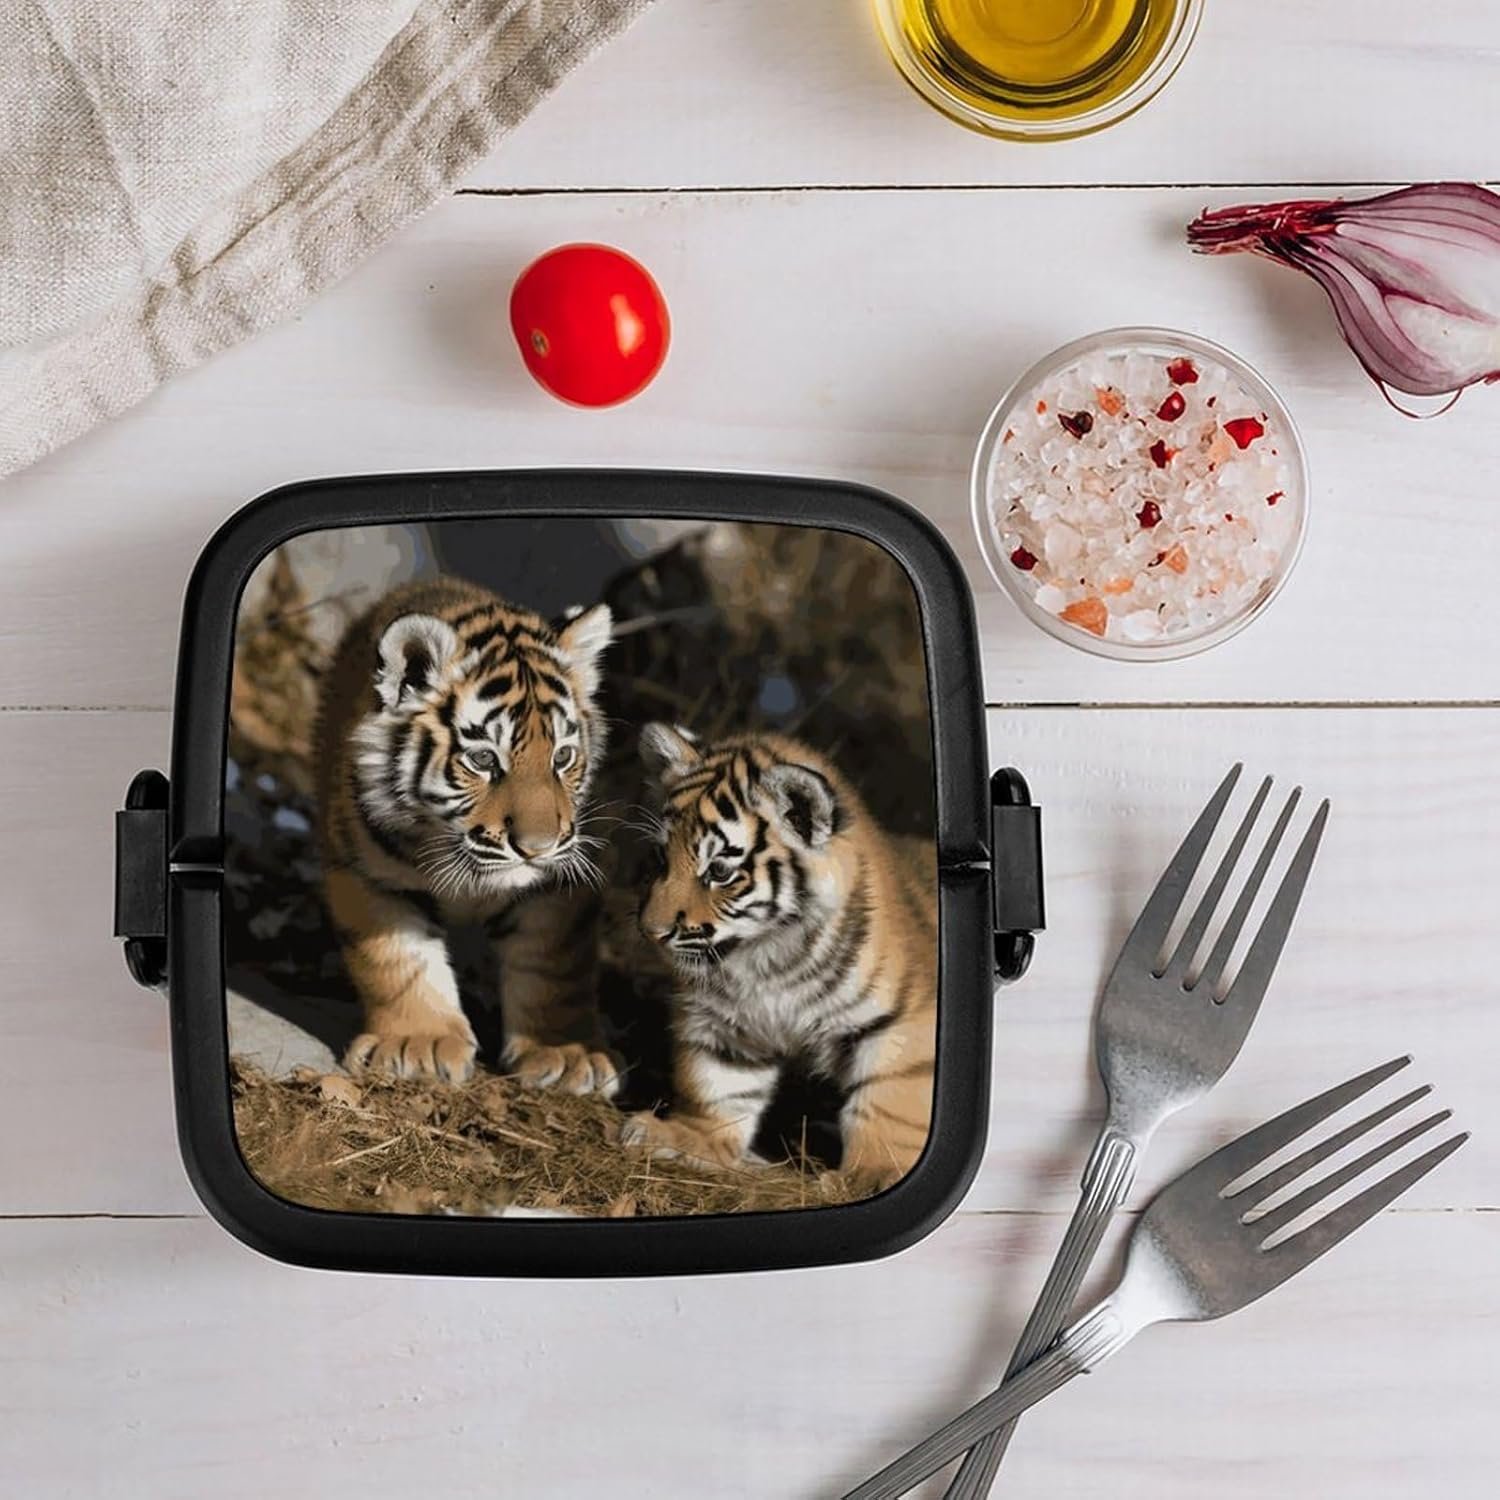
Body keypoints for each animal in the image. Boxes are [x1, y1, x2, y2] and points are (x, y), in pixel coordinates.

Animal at [314, 575, 619, 1095]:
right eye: (482, 759)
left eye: (561, 757)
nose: (537, 849)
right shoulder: (367, 874)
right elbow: (397, 961)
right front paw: (418, 1045)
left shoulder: (560, 885)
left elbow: (553, 967)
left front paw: (566, 1055)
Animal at [619, 724, 938, 1194]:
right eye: (662, 857)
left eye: (719, 872)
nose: (651, 932)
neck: (765, 956)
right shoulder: (725, 1023)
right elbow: (716, 1082)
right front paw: (687, 1137)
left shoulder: (904, 1019)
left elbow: (886, 1099)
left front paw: (873, 1174)